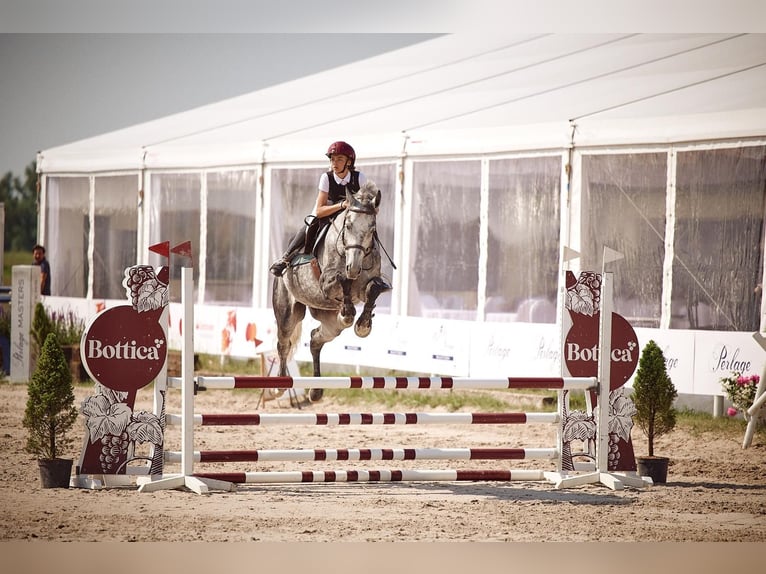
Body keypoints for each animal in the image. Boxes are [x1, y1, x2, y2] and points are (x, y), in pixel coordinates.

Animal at [272, 182, 392, 402]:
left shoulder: (367, 285)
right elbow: (340, 279)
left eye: (372, 229)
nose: (353, 268)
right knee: (283, 343)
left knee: (315, 338)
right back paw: (279, 386)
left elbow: (374, 288)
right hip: (288, 312)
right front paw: (349, 308)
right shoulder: (326, 283)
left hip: (330, 321)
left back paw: (316, 390)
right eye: (348, 226)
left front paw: (363, 324)